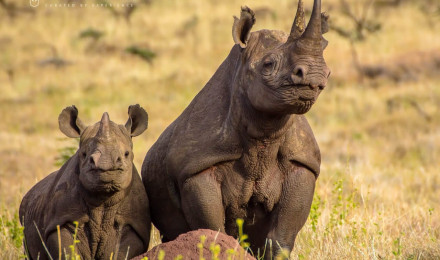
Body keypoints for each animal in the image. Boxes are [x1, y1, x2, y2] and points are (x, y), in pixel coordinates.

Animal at [19, 104, 150, 258]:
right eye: (84, 154)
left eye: (126, 154)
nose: (105, 164)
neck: (103, 199)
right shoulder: (62, 222)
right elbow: (68, 252)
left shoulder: (132, 227)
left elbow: (120, 253)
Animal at [143, 0, 332, 256]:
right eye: (268, 65)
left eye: (328, 70)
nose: (315, 76)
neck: (264, 134)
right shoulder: (196, 168)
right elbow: (213, 230)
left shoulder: (303, 164)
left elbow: (281, 238)